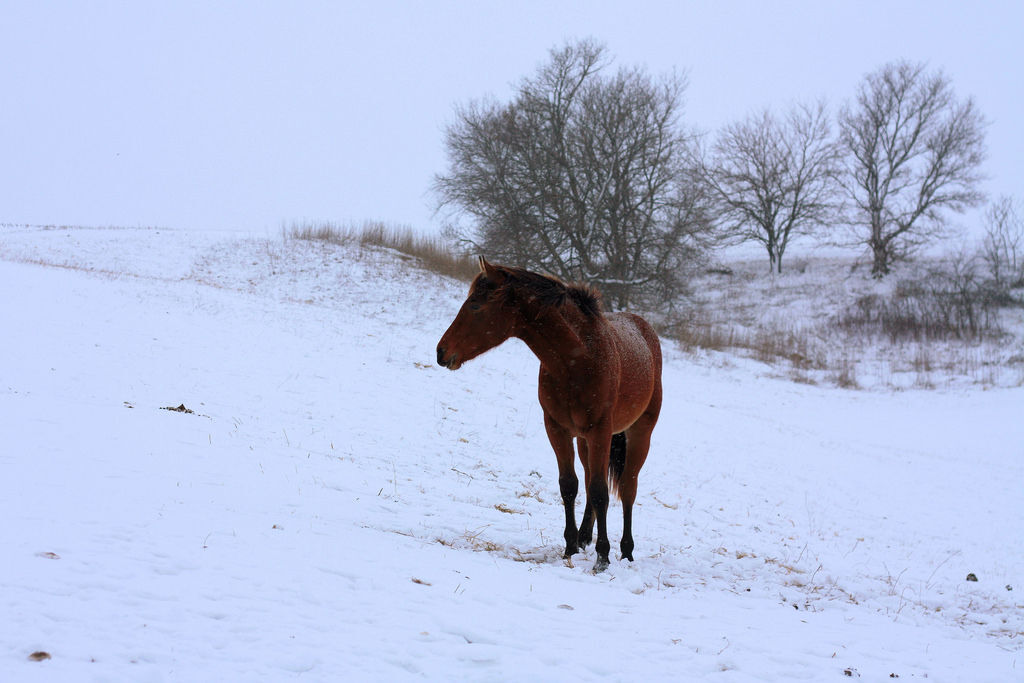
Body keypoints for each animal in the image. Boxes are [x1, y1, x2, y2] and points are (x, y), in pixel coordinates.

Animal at [436, 257, 662, 572]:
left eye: (476, 306)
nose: (441, 352)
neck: (579, 359)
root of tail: (644, 331)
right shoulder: (558, 428)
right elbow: (570, 486)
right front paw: (570, 547)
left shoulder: (600, 431)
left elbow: (600, 491)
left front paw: (602, 557)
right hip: (584, 441)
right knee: (591, 479)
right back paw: (585, 537)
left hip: (639, 433)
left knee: (628, 488)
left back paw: (626, 551)